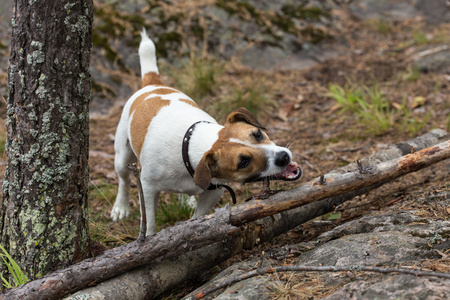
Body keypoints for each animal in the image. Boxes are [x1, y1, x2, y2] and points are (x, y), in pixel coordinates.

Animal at [110, 31, 302, 237]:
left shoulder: (214, 190)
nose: (283, 157)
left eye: (258, 134)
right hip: (122, 156)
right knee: (123, 180)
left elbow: (199, 216)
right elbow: (150, 223)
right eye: (243, 162)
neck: (189, 144)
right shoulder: (147, 188)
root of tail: (152, 84)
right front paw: (149, 239)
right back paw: (121, 207)